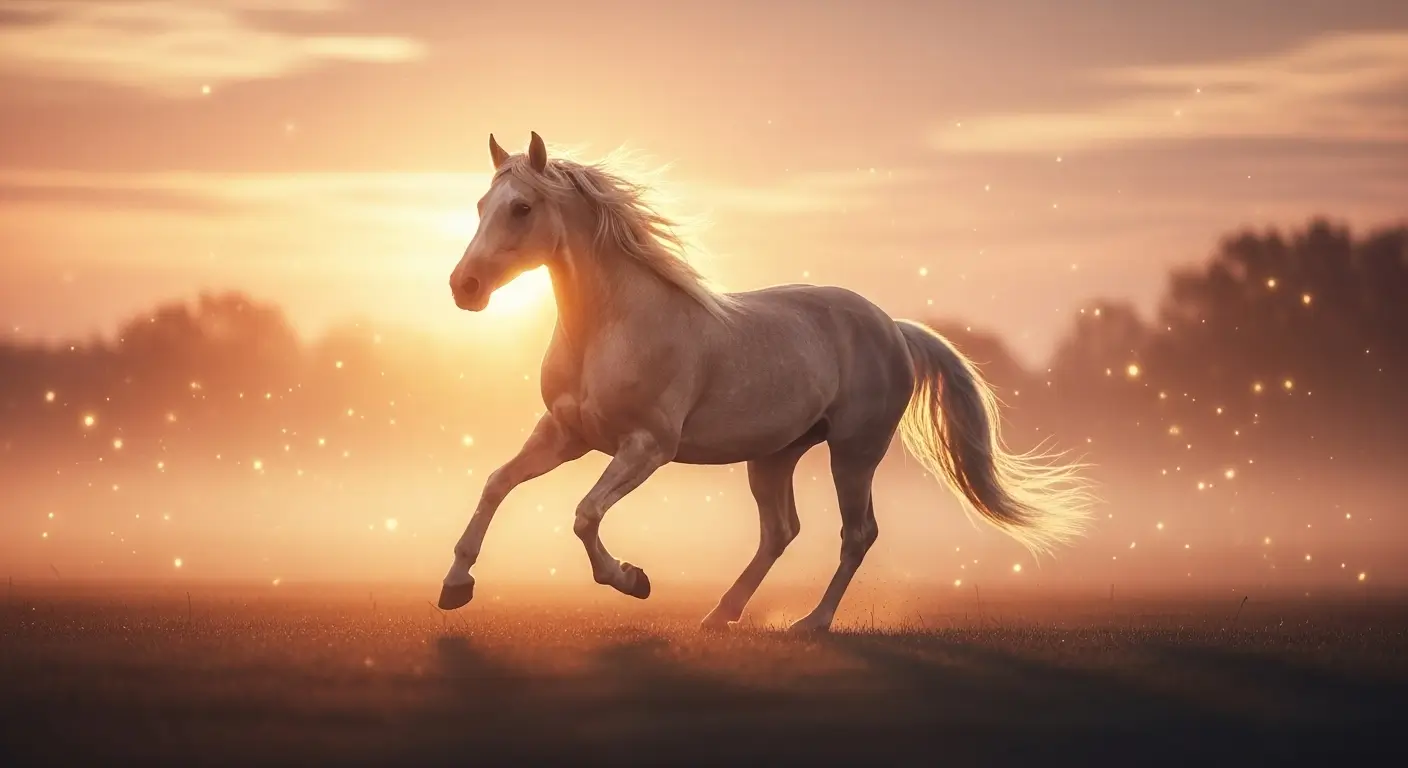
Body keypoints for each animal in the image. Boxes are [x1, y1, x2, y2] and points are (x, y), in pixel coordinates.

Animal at [438, 132, 1096, 632]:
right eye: (481, 205)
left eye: (522, 208)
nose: (463, 287)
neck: (612, 326)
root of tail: (894, 327)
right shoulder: (565, 434)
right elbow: (497, 484)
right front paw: (454, 586)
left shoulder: (648, 446)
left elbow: (584, 514)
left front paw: (632, 580)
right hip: (775, 455)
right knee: (781, 532)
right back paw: (718, 616)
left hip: (854, 451)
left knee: (857, 533)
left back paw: (811, 623)